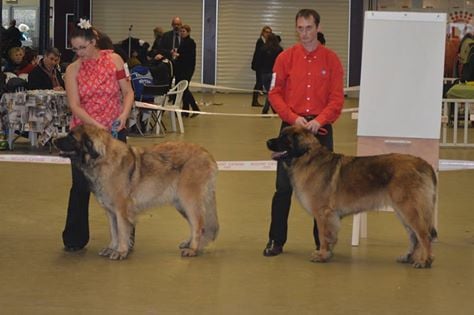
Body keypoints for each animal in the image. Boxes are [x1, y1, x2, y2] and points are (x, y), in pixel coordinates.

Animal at [54, 124, 220, 260]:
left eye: (71, 137)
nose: (54, 140)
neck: (102, 159)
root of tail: (207, 155)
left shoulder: (121, 210)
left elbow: (121, 231)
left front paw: (121, 251)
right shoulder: (110, 211)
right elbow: (113, 231)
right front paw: (112, 248)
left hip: (189, 200)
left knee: (198, 225)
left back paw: (193, 249)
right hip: (181, 203)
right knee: (194, 224)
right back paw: (189, 243)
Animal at [266, 126, 436, 270]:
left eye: (284, 138)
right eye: (280, 135)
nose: (267, 142)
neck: (307, 158)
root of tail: (424, 163)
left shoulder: (323, 213)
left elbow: (322, 235)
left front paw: (322, 255)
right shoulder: (331, 216)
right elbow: (330, 236)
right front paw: (328, 253)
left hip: (409, 209)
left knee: (424, 235)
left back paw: (424, 261)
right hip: (402, 211)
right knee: (413, 236)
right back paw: (408, 257)